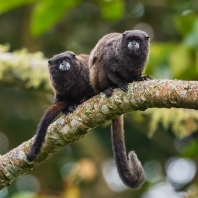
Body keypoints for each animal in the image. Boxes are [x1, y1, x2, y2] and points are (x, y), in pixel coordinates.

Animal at [88, 29, 152, 189]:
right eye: (130, 39)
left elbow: (137, 74)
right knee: (99, 63)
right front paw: (120, 83)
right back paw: (107, 88)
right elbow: (108, 67)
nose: (133, 43)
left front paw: (140, 78)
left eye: (138, 40)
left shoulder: (143, 60)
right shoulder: (112, 54)